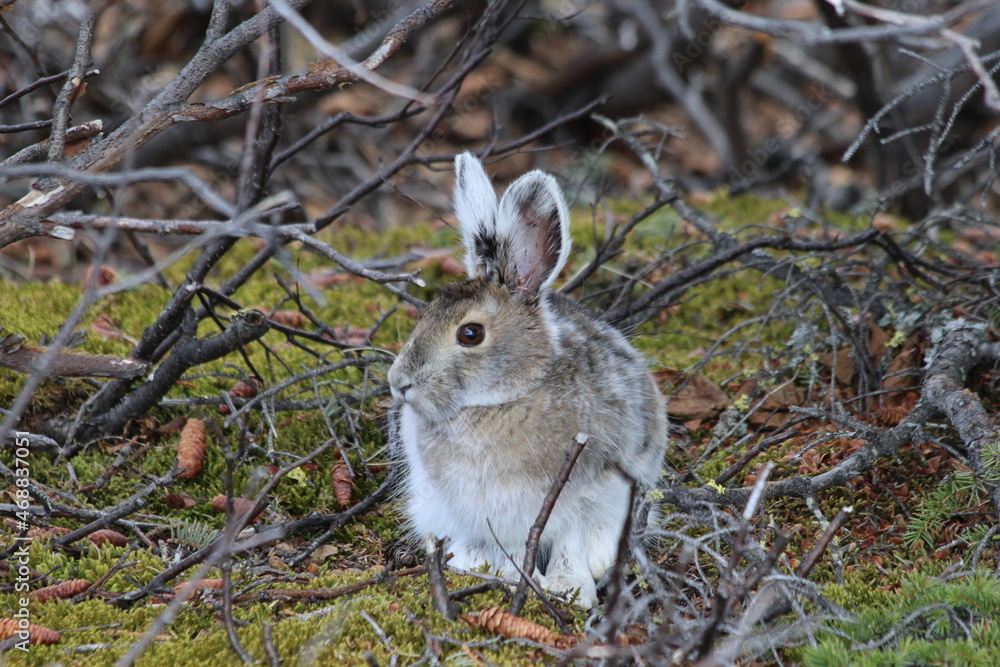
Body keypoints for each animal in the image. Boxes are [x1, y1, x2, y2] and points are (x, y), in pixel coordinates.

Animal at [387, 153, 667, 607]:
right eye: (425, 314)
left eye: (471, 334)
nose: (399, 383)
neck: (499, 402)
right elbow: (512, 550)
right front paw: (509, 576)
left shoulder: (587, 498)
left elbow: (570, 543)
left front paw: (568, 589)